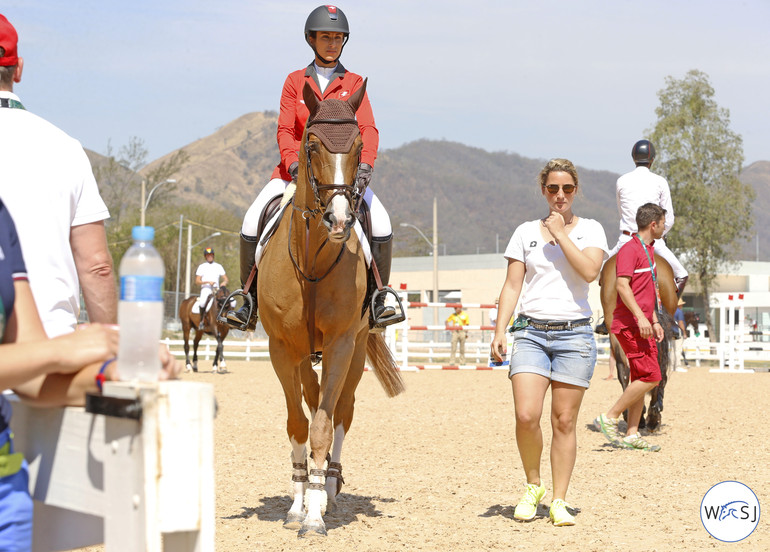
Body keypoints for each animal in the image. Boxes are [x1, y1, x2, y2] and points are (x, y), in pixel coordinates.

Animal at [256, 83, 402, 540]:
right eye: (312, 144)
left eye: (358, 146)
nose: (340, 219)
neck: (314, 262)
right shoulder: (282, 349)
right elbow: (298, 424)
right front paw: (297, 504)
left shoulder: (340, 345)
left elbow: (323, 424)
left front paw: (316, 514)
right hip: (305, 356)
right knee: (312, 396)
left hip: (355, 351)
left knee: (341, 411)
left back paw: (332, 486)